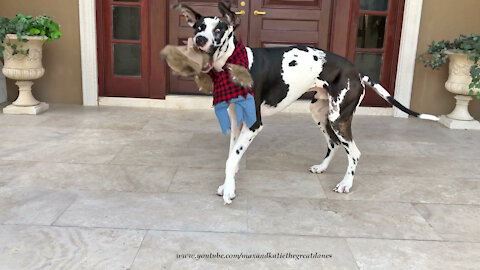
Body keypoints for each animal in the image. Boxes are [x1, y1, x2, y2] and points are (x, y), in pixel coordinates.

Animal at [174, 0, 440, 205]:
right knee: (333, 143)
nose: (199, 39)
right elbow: (232, 155)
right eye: (198, 27)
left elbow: (232, 159)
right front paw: (228, 184)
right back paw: (322, 168)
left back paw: (345, 183)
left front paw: (229, 191)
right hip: (319, 113)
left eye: (219, 30)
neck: (232, 65)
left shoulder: (254, 124)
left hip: (338, 118)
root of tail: (356, 71)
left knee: (354, 152)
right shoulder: (235, 121)